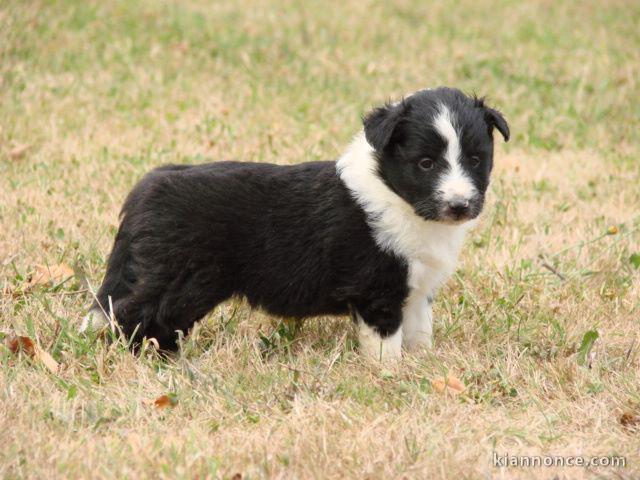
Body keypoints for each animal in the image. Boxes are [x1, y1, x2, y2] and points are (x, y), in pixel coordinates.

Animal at [81, 88, 510, 362]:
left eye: (475, 159)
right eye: (425, 163)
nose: (459, 205)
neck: (398, 197)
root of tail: (149, 184)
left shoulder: (417, 288)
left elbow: (420, 332)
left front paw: (423, 366)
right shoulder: (378, 290)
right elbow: (385, 344)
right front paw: (389, 375)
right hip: (183, 278)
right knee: (136, 313)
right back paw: (154, 360)